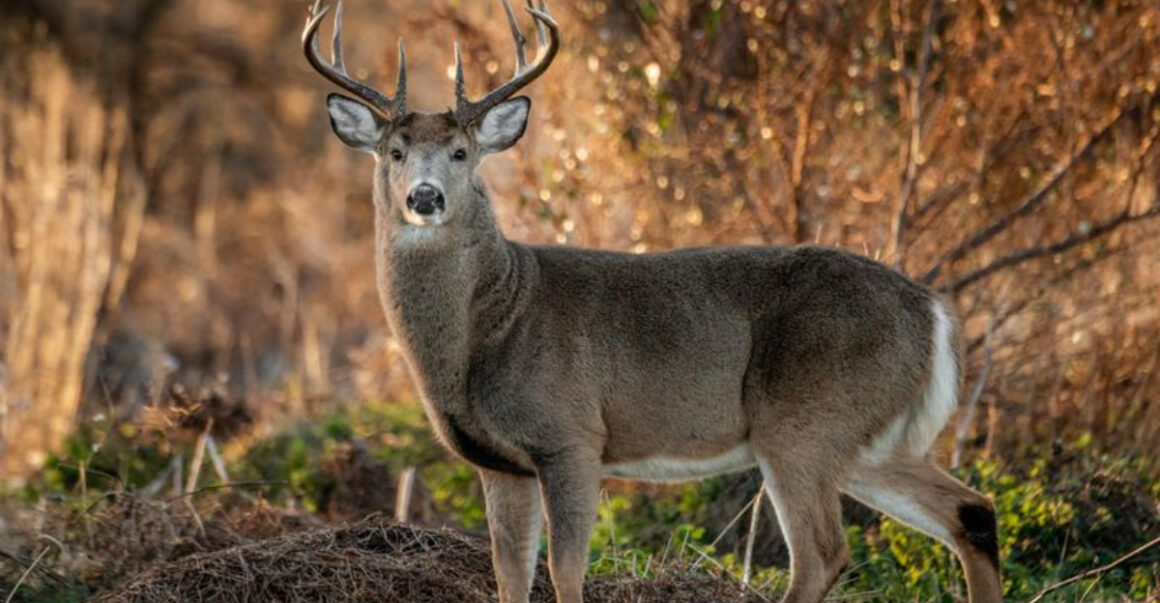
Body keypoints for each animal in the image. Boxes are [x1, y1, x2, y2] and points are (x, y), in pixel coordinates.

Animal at [301, 2, 1002, 602]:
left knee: (825, 554)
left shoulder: (571, 435)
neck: (490, 325)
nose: (425, 196)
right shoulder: (500, 462)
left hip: (805, 419)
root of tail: (933, 312)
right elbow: (510, 578)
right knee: (971, 511)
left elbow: (566, 573)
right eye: (393, 152)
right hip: (868, 438)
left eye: (461, 152)